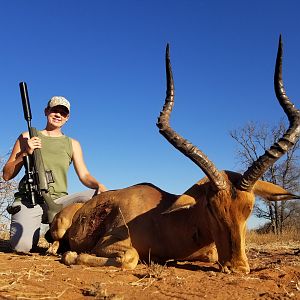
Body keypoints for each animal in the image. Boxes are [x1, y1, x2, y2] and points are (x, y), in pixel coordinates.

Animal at [50, 35, 298, 274]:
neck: (165, 220)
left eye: (249, 208)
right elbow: (130, 257)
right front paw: (71, 255)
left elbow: (211, 254)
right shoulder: (109, 245)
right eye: (211, 207)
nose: (237, 267)